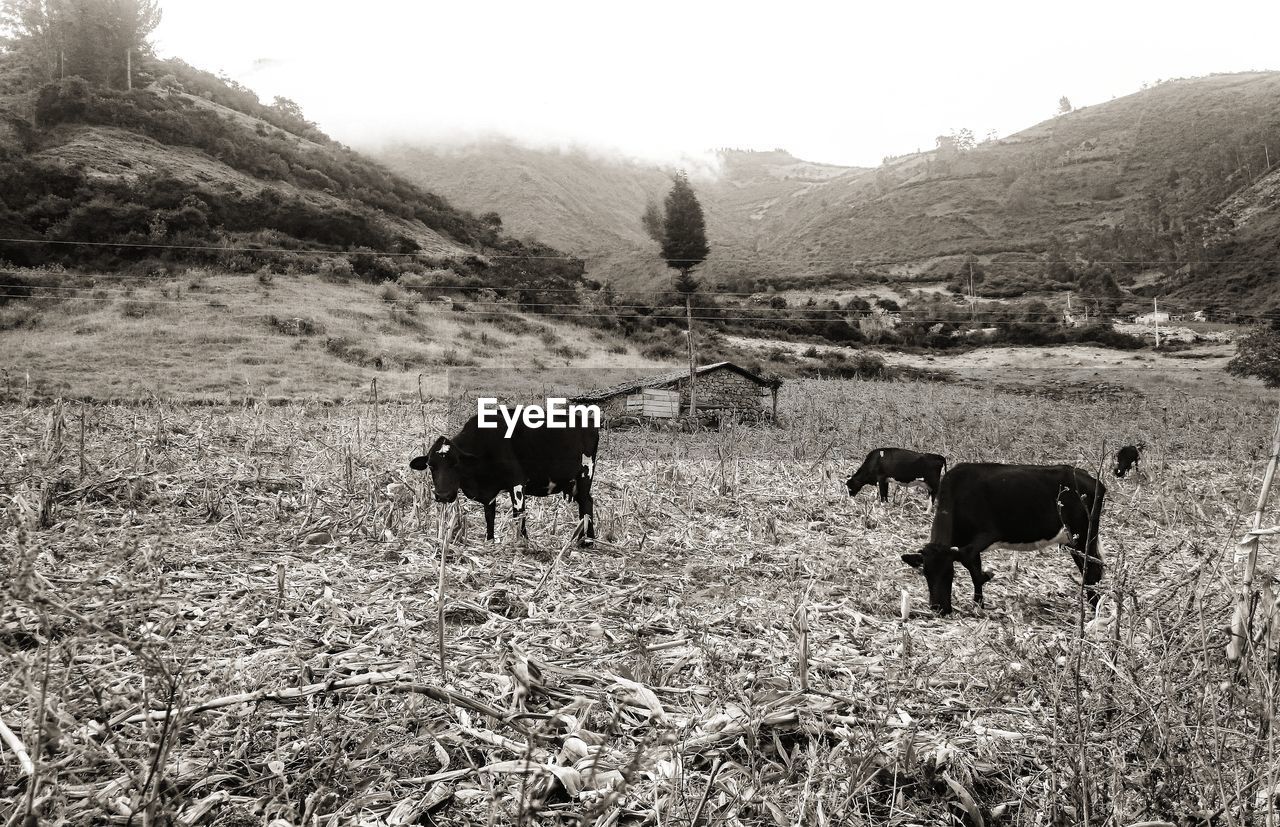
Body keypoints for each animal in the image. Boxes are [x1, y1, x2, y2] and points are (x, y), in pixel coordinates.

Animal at [409, 417, 599, 547]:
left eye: (456, 463)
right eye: (431, 465)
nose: (443, 495)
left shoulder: (517, 483)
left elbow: (519, 515)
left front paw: (522, 543)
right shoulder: (489, 492)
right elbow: (489, 516)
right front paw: (490, 540)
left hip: (585, 475)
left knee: (586, 503)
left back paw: (587, 541)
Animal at [901, 465, 1100, 614]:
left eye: (949, 573)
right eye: (925, 573)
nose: (938, 608)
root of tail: (1089, 477)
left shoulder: (987, 534)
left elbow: (968, 559)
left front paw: (986, 578)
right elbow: (972, 567)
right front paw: (978, 603)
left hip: (1083, 537)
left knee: (1092, 570)